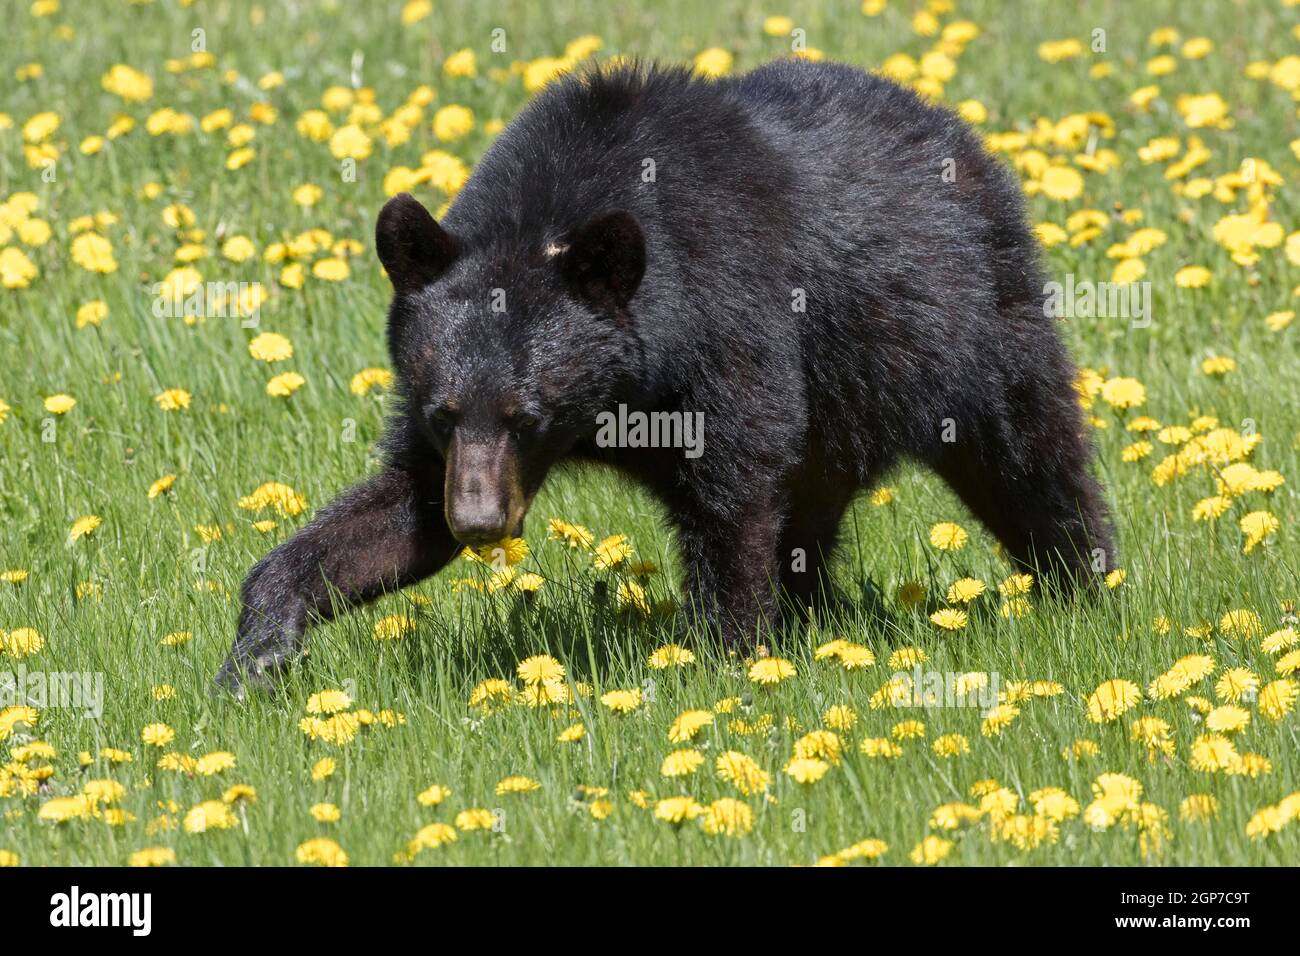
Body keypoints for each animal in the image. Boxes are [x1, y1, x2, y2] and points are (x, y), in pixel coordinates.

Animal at [213, 59, 1107, 697]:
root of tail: (952, 127)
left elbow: (734, 496)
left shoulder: (731, 327)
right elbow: (392, 516)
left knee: (1028, 455)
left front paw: (727, 661)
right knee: (813, 515)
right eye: (444, 412)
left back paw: (1083, 585)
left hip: (972, 322)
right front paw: (257, 655)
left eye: (528, 413)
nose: (479, 522)